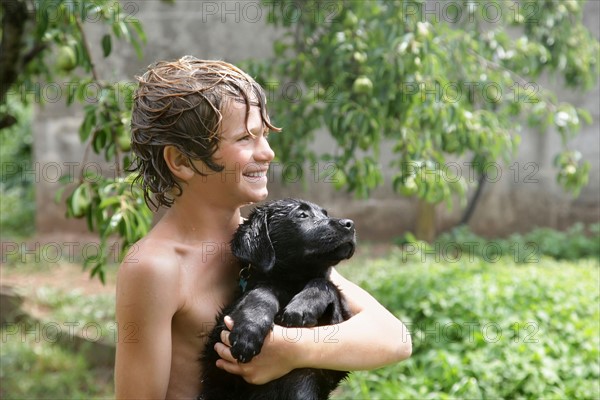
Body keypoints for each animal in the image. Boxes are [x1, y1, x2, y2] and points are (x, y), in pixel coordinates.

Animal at [199, 198, 356, 398]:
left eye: (325, 214)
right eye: (302, 215)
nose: (350, 224)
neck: (291, 283)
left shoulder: (330, 362)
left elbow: (325, 283)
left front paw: (301, 307)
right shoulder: (219, 346)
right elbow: (263, 290)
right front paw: (248, 332)